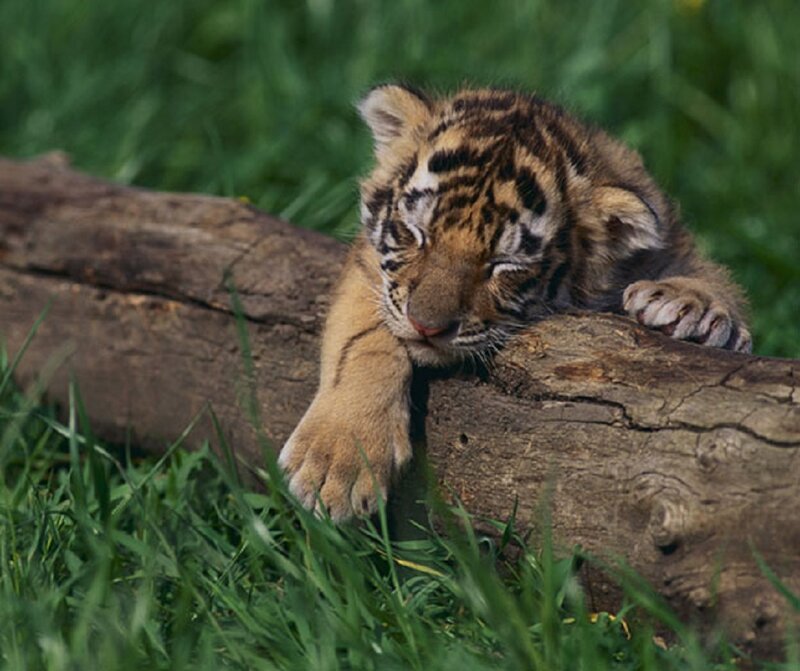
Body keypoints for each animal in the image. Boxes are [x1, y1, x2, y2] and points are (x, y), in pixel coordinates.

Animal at [279, 84, 751, 521]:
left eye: (504, 264)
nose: (427, 327)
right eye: (416, 233)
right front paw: (336, 461)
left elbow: (715, 277)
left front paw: (693, 307)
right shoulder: (368, 268)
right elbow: (362, 335)